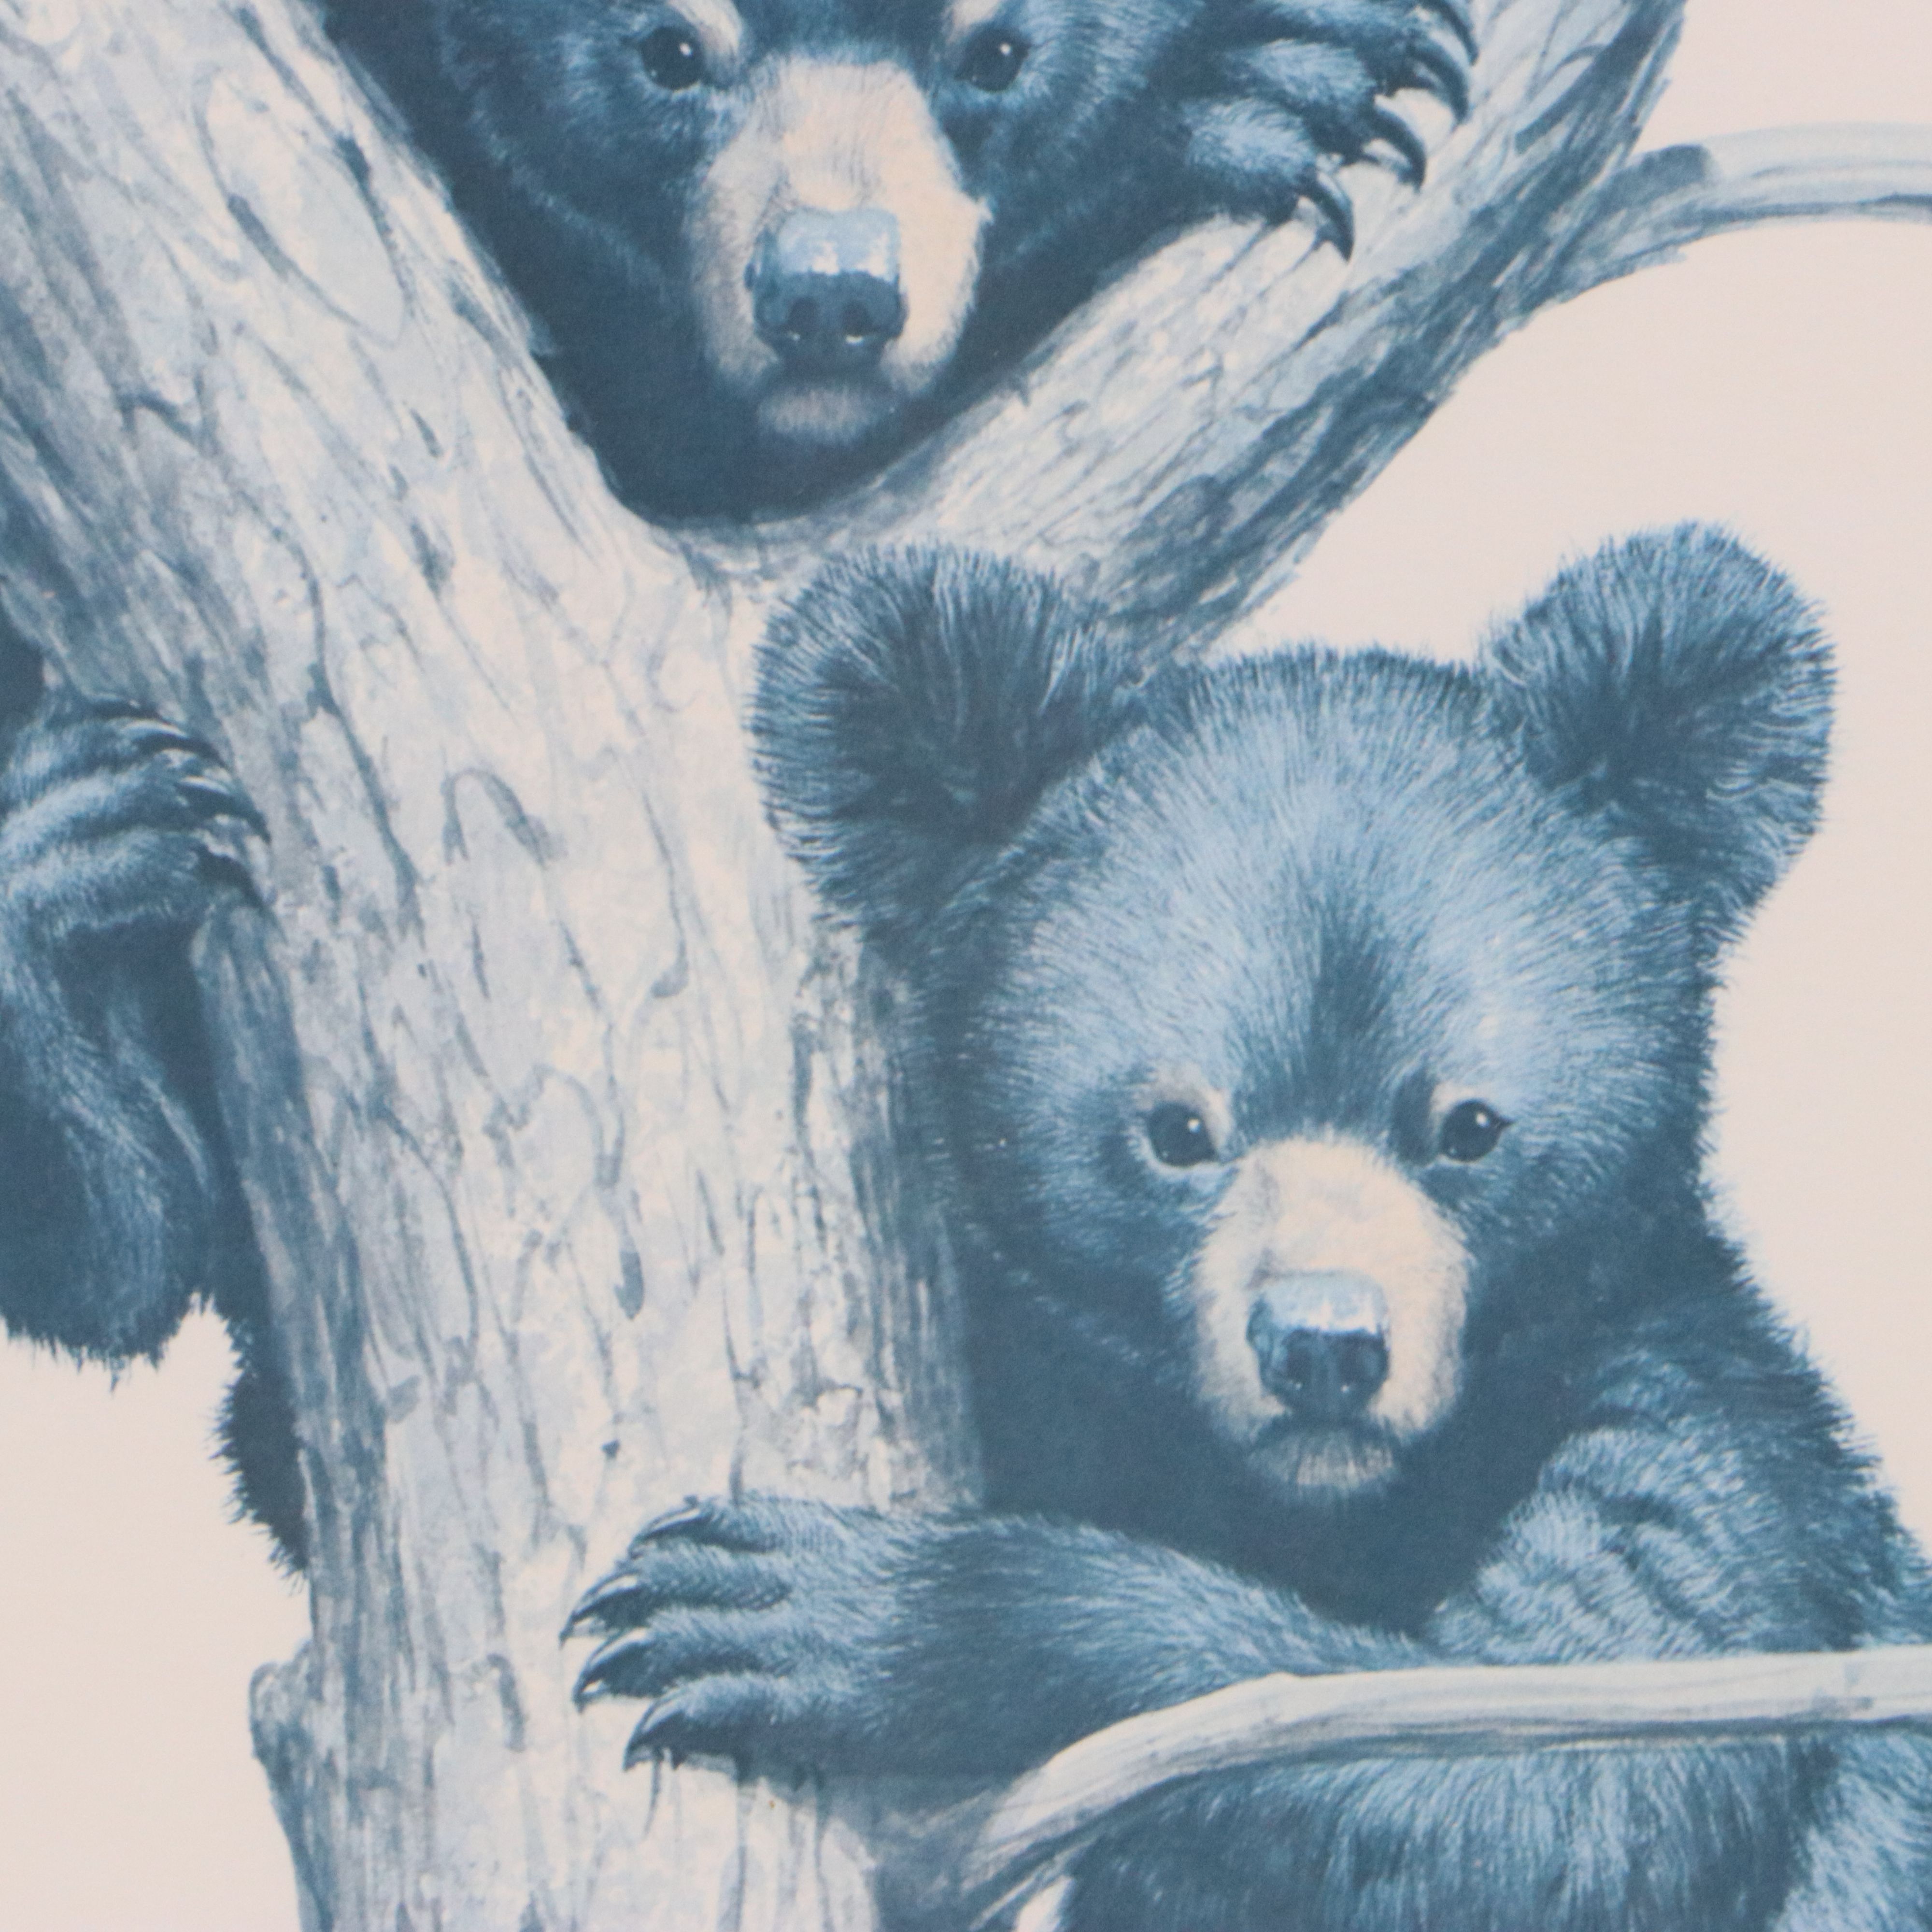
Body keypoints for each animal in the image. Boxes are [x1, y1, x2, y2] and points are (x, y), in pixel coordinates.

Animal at [563, 529, 1932, 1929]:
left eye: (1467, 1125)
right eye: (1177, 1129)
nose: (1323, 1344)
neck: (1312, 1508)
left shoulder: (1709, 1469)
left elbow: (1551, 1783)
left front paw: (814, 1611)